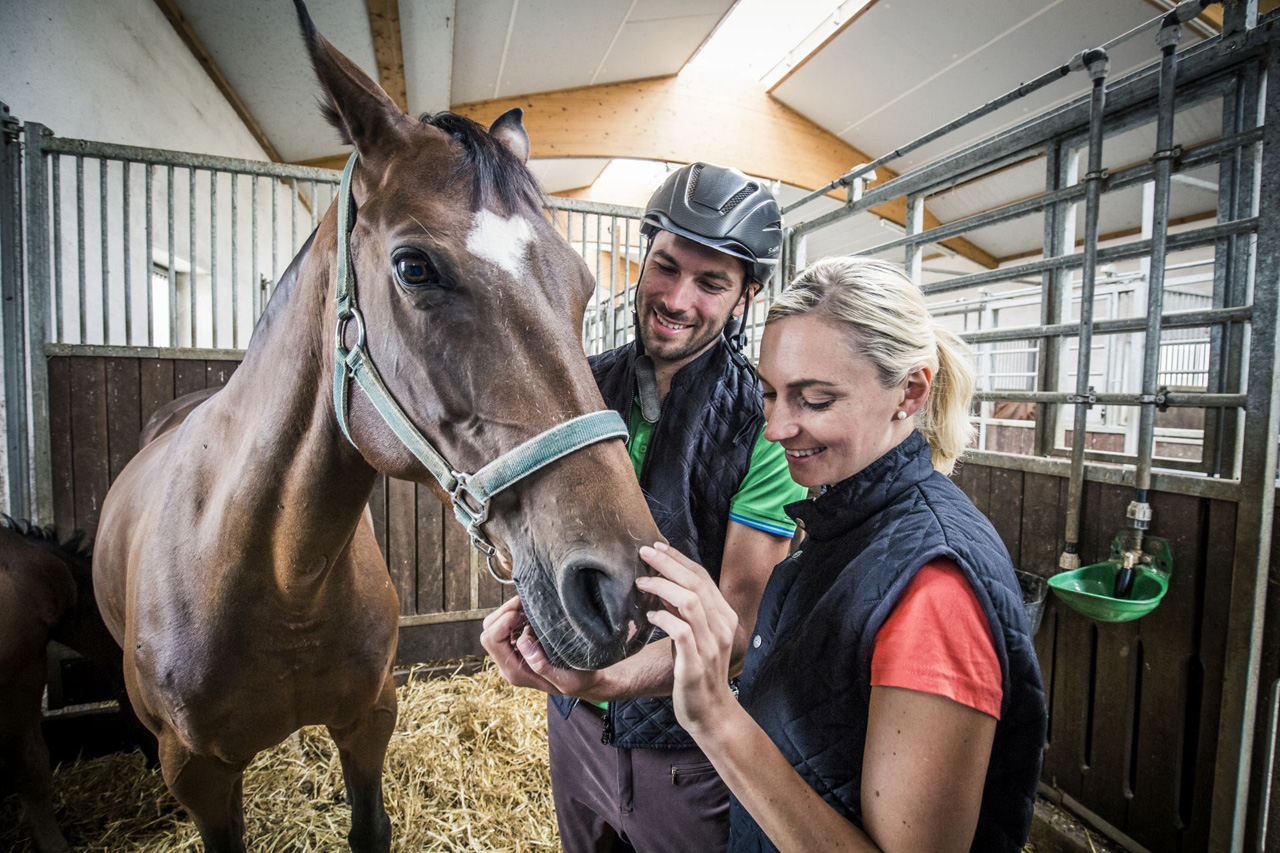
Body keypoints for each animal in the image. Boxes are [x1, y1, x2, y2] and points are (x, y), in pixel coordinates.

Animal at [91, 3, 665, 845]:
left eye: (585, 282)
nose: (624, 589)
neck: (281, 575)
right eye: (414, 266)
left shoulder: (371, 717)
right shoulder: (194, 771)